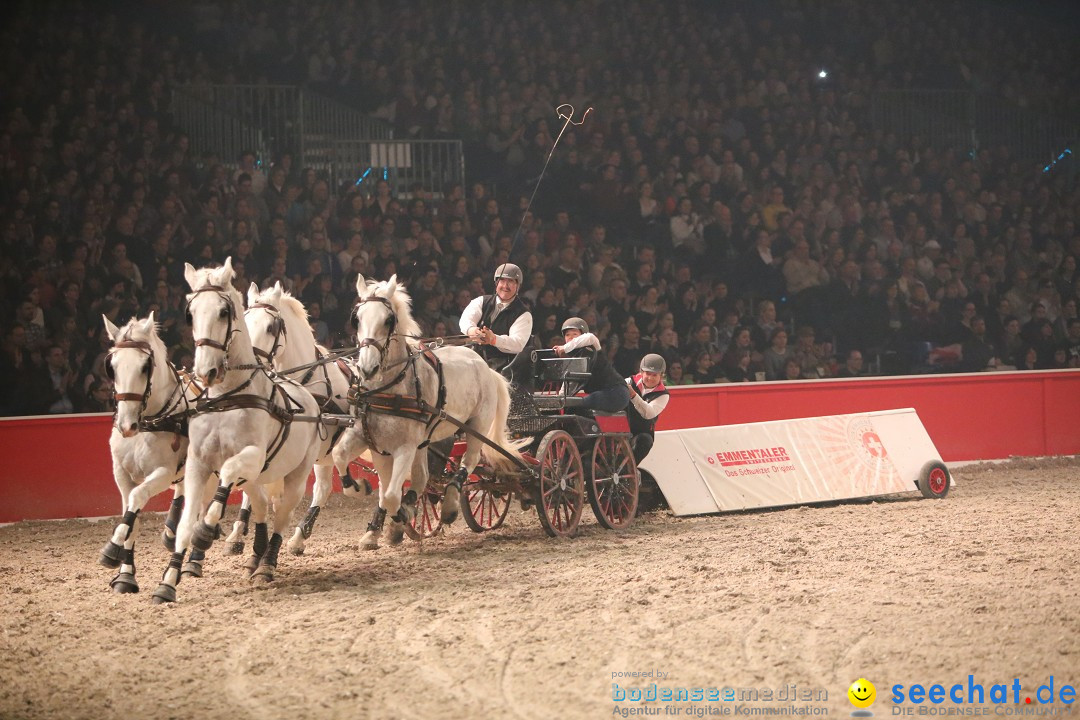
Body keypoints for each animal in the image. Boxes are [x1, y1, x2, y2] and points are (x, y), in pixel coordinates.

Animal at [99, 313, 206, 591]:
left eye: (145, 366)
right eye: (112, 366)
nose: (126, 426)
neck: (148, 423)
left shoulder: (162, 473)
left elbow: (137, 498)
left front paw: (111, 548)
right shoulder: (120, 474)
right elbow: (131, 518)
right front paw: (125, 574)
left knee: (200, 508)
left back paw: (194, 559)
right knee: (182, 493)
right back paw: (170, 532)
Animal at [152, 257, 319, 604]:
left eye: (223, 312)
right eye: (190, 313)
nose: (206, 371)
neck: (227, 397)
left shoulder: (252, 457)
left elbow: (227, 472)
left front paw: (206, 531)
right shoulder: (197, 463)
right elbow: (186, 520)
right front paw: (169, 581)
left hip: (297, 474)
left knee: (282, 513)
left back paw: (267, 564)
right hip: (257, 479)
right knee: (260, 504)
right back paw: (255, 553)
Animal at [332, 276, 527, 552]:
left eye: (388, 320)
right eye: (356, 318)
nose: (367, 368)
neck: (388, 388)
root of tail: (485, 366)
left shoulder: (405, 447)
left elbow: (391, 495)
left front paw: (400, 519)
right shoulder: (370, 440)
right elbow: (344, 459)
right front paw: (362, 494)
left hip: (476, 426)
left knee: (468, 461)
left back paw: (449, 506)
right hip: (424, 441)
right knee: (423, 478)